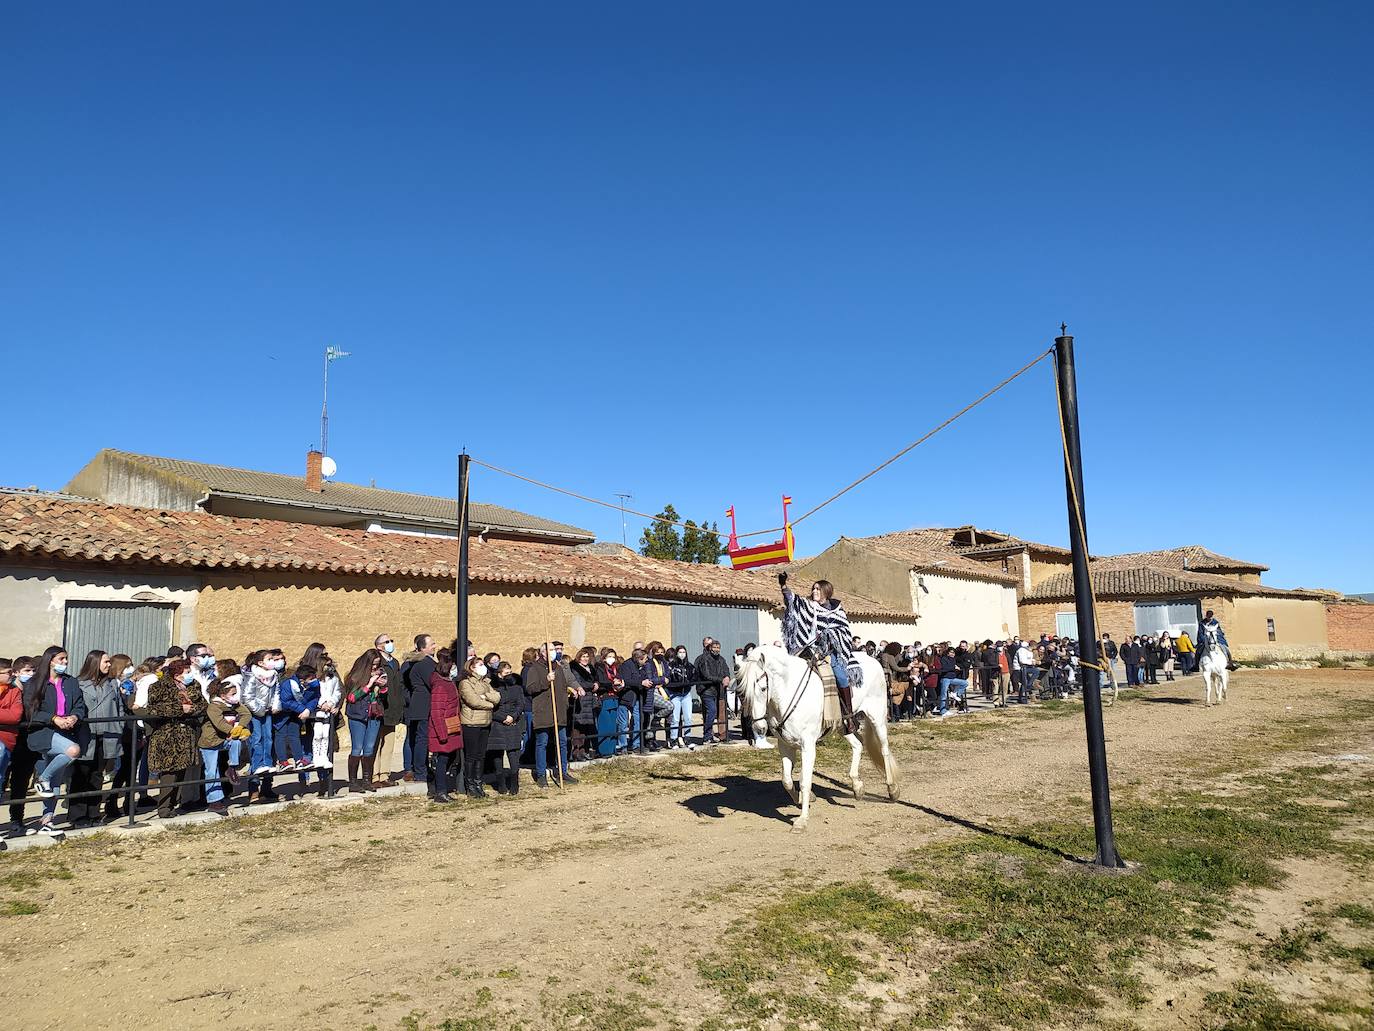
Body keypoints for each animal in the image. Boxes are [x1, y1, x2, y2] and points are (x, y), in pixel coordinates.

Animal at [736, 646, 895, 830]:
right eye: (742, 693)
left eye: (762, 688)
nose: (759, 728)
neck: (789, 692)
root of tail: (872, 659)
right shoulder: (785, 745)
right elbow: (787, 780)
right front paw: (804, 799)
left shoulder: (808, 746)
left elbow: (805, 781)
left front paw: (802, 820)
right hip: (843, 726)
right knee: (858, 745)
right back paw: (857, 787)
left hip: (877, 717)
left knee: (884, 750)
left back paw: (892, 790)